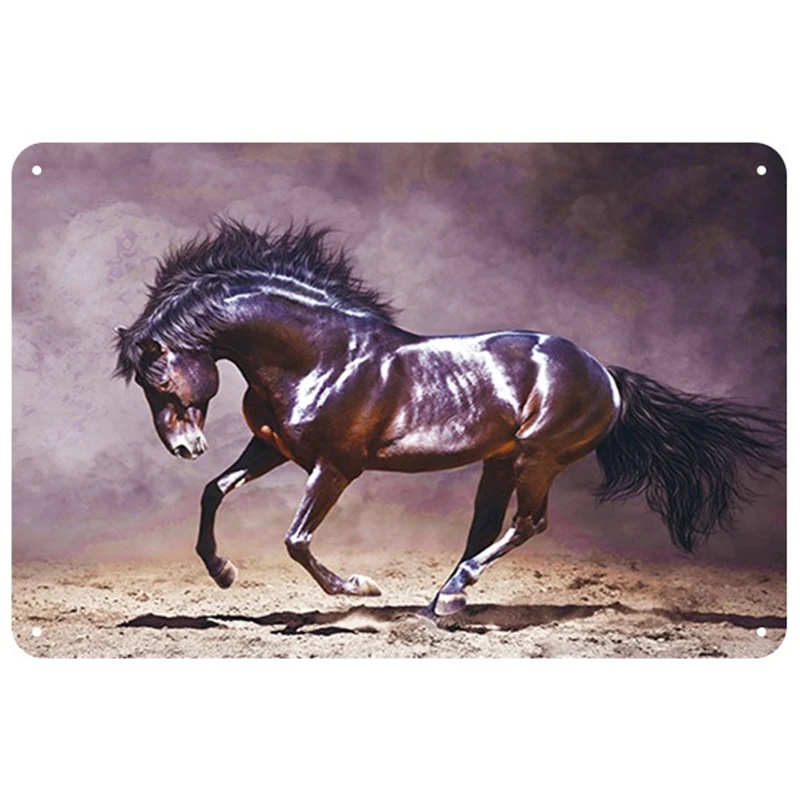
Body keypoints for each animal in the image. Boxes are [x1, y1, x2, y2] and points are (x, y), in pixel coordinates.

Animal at [114, 220, 784, 617]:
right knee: (487, 527)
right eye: (144, 386)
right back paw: (442, 598)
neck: (322, 355)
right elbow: (214, 491)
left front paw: (359, 588)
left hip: (538, 458)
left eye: (161, 376)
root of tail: (606, 374)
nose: (185, 447)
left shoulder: (336, 466)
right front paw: (223, 572)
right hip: (501, 462)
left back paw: (452, 595)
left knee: (529, 523)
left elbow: (297, 539)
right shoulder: (272, 448)